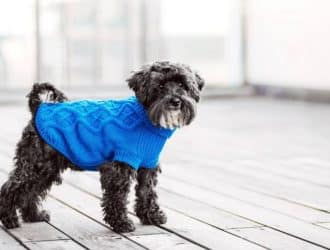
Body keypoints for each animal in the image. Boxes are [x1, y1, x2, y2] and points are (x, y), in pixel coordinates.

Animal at [0, 60, 204, 232]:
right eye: (160, 85)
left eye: (183, 85)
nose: (175, 101)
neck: (145, 117)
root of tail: (38, 107)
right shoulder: (119, 166)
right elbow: (117, 197)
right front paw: (121, 223)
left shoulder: (148, 165)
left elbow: (147, 192)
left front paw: (151, 216)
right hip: (35, 164)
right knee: (12, 188)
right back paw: (9, 219)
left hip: (47, 168)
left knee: (31, 192)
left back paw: (34, 215)